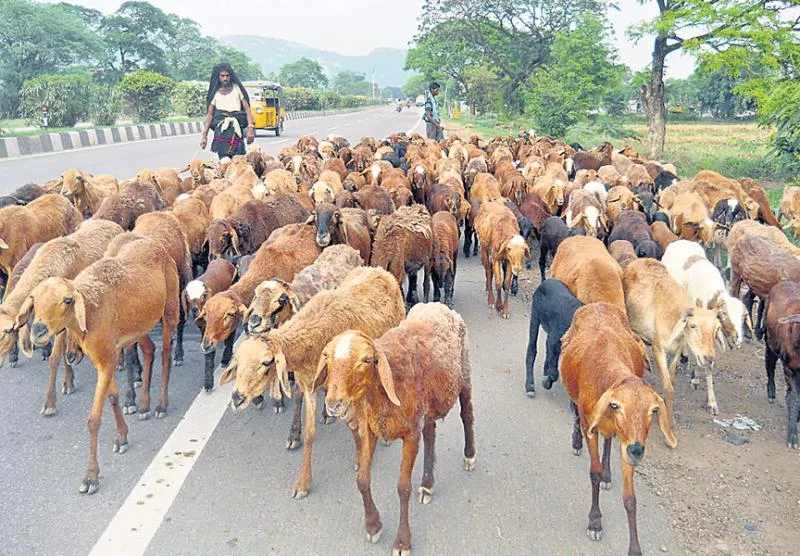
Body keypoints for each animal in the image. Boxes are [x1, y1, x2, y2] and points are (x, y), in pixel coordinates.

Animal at [17, 237, 181, 494]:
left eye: (67, 300)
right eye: (33, 299)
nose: (38, 331)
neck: (90, 310)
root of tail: (153, 244)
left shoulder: (107, 359)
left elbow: (93, 420)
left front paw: (91, 476)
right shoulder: (105, 357)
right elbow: (113, 397)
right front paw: (122, 436)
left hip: (170, 309)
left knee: (165, 354)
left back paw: (160, 405)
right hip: (138, 326)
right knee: (149, 350)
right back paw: (144, 405)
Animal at [219, 266, 406, 500]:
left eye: (267, 362)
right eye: (238, 361)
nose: (237, 399)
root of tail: (379, 270)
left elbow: (357, 425)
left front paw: (360, 457)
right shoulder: (309, 387)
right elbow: (310, 434)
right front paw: (303, 483)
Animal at [318, 302, 476, 552]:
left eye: (366, 360)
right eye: (326, 356)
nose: (334, 404)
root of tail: (438, 305)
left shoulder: (410, 433)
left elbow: (403, 488)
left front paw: (402, 541)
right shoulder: (370, 429)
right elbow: (362, 480)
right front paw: (373, 526)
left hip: (465, 372)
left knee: (466, 415)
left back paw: (469, 456)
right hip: (427, 404)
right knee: (430, 433)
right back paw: (427, 483)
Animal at [560, 302, 680, 556]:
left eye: (653, 410)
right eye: (616, 405)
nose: (637, 451)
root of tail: (598, 303)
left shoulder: (628, 440)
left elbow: (630, 498)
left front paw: (635, 548)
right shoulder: (592, 426)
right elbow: (593, 473)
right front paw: (595, 522)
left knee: (609, 441)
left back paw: (608, 472)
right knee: (576, 413)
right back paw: (577, 443)